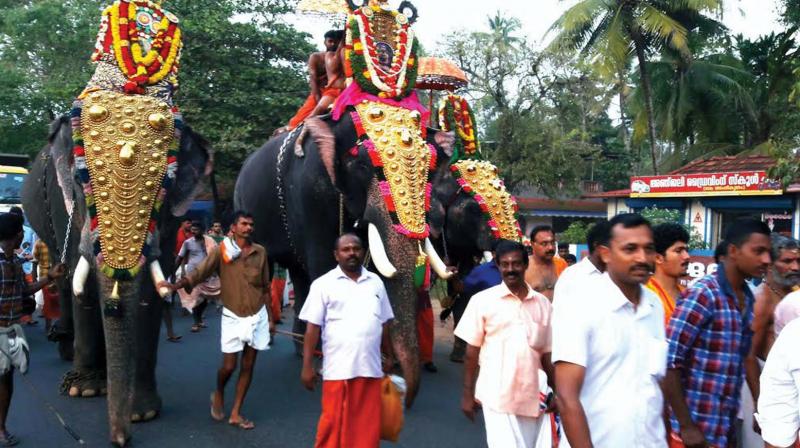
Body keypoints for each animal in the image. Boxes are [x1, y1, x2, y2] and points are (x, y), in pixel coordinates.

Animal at [23, 1, 211, 446]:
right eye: (80, 177)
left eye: (168, 182)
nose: (119, 439)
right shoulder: (66, 205)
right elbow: (83, 282)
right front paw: (85, 390)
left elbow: (151, 291)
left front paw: (142, 412)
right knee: (63, 276)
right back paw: (68, 352)